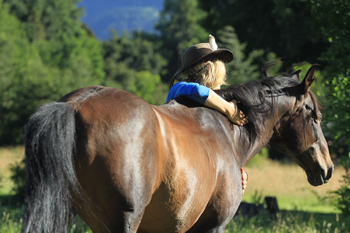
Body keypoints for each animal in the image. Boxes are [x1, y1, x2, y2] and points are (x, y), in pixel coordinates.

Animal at [21, 64, 334, 232]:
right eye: (315, 116)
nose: (328, 168)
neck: (228, 131)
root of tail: (76, 105)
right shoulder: (214, 225)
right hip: (122, 219)